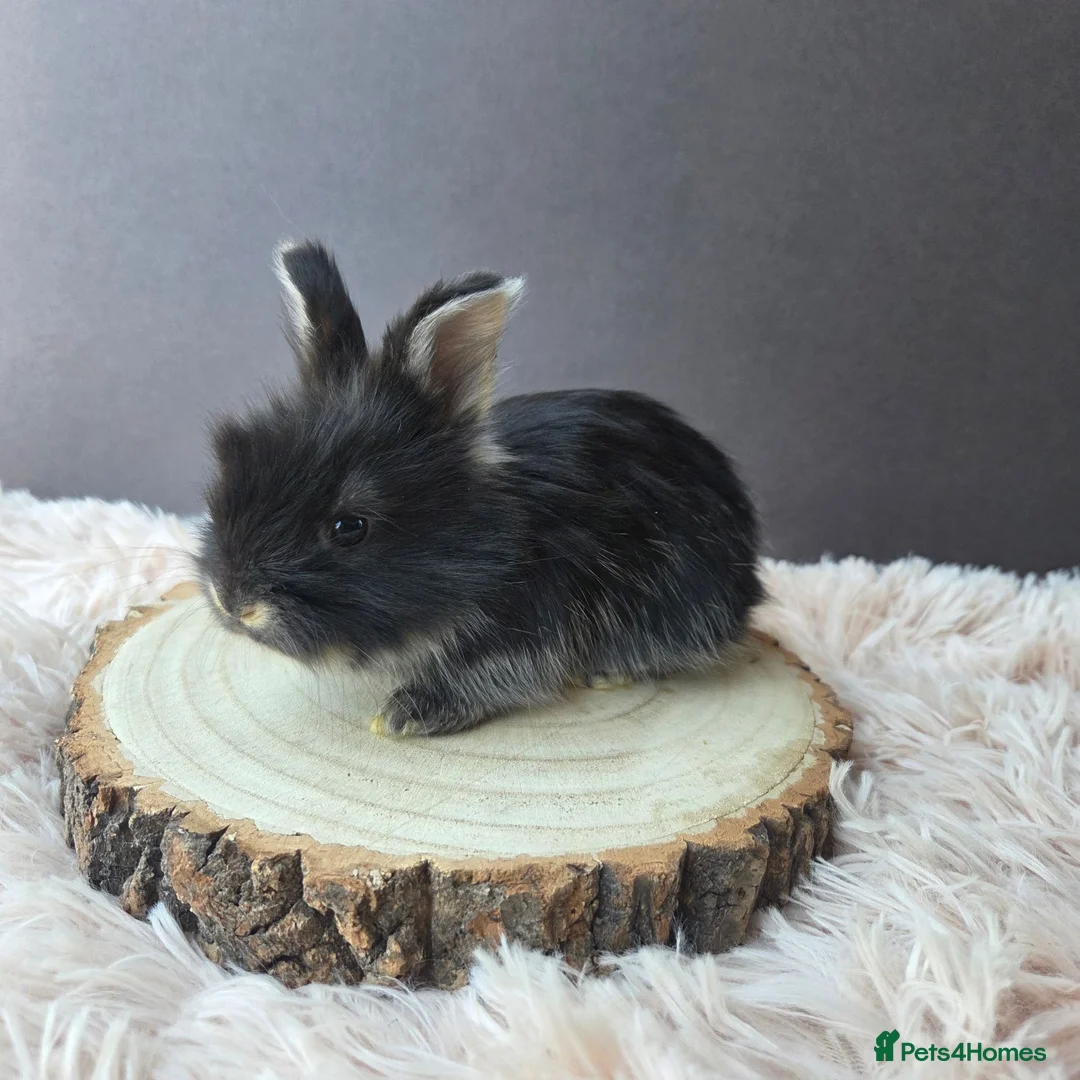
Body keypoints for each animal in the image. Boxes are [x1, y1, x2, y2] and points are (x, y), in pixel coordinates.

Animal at [197, 240, 765, 736]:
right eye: (229, 463)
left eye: (349, 527)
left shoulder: (527, 622)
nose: (233, 601)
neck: (494, 540)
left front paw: (405, 715)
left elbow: (492, 676)